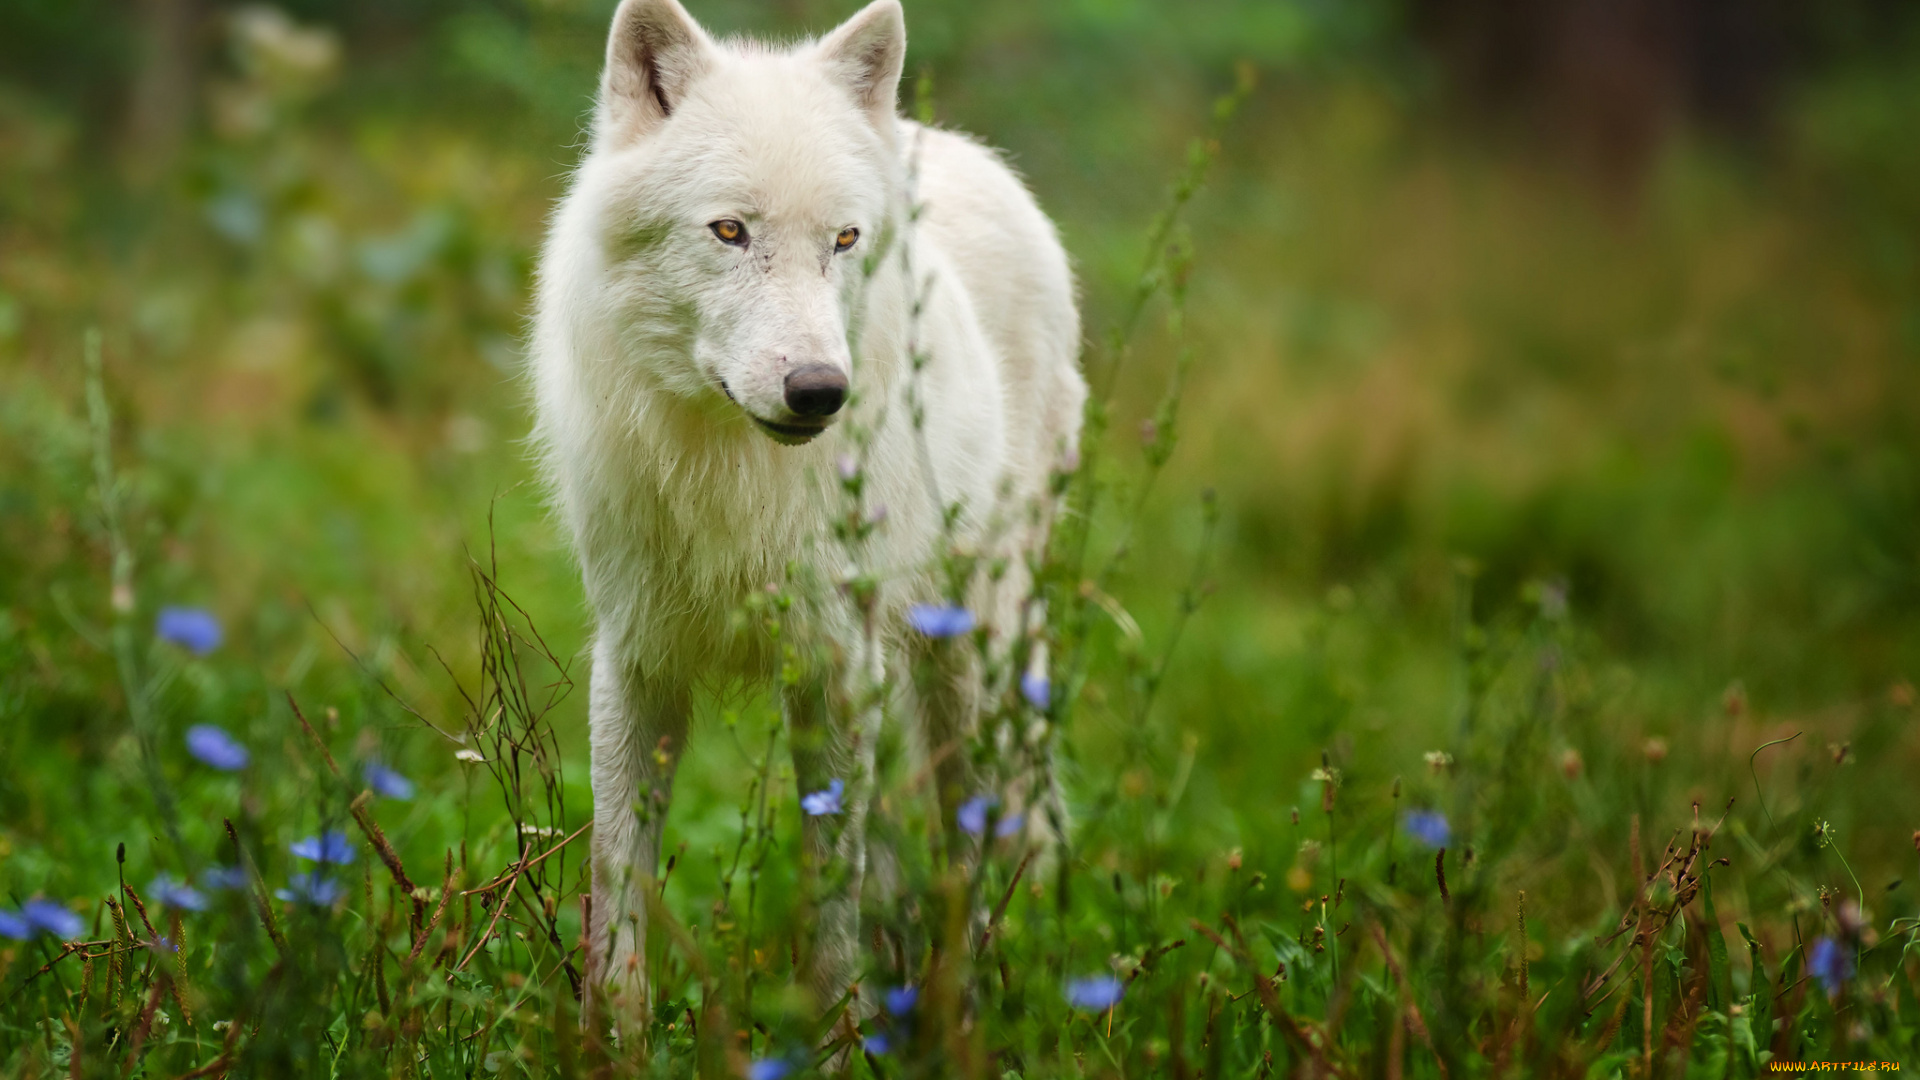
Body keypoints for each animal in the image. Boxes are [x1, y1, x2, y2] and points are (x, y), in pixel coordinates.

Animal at [528, 0, 1085, 1010]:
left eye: (844, 240)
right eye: (729, 232)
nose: (821, 391)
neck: (730, 473)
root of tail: (950, 143)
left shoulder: (835, 662)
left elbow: (833, 892)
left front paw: (837, 1029)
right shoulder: (635, 657)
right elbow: (618, 878)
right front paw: (613, 1033)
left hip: (971, 659)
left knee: (973, 841)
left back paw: (973, 994)